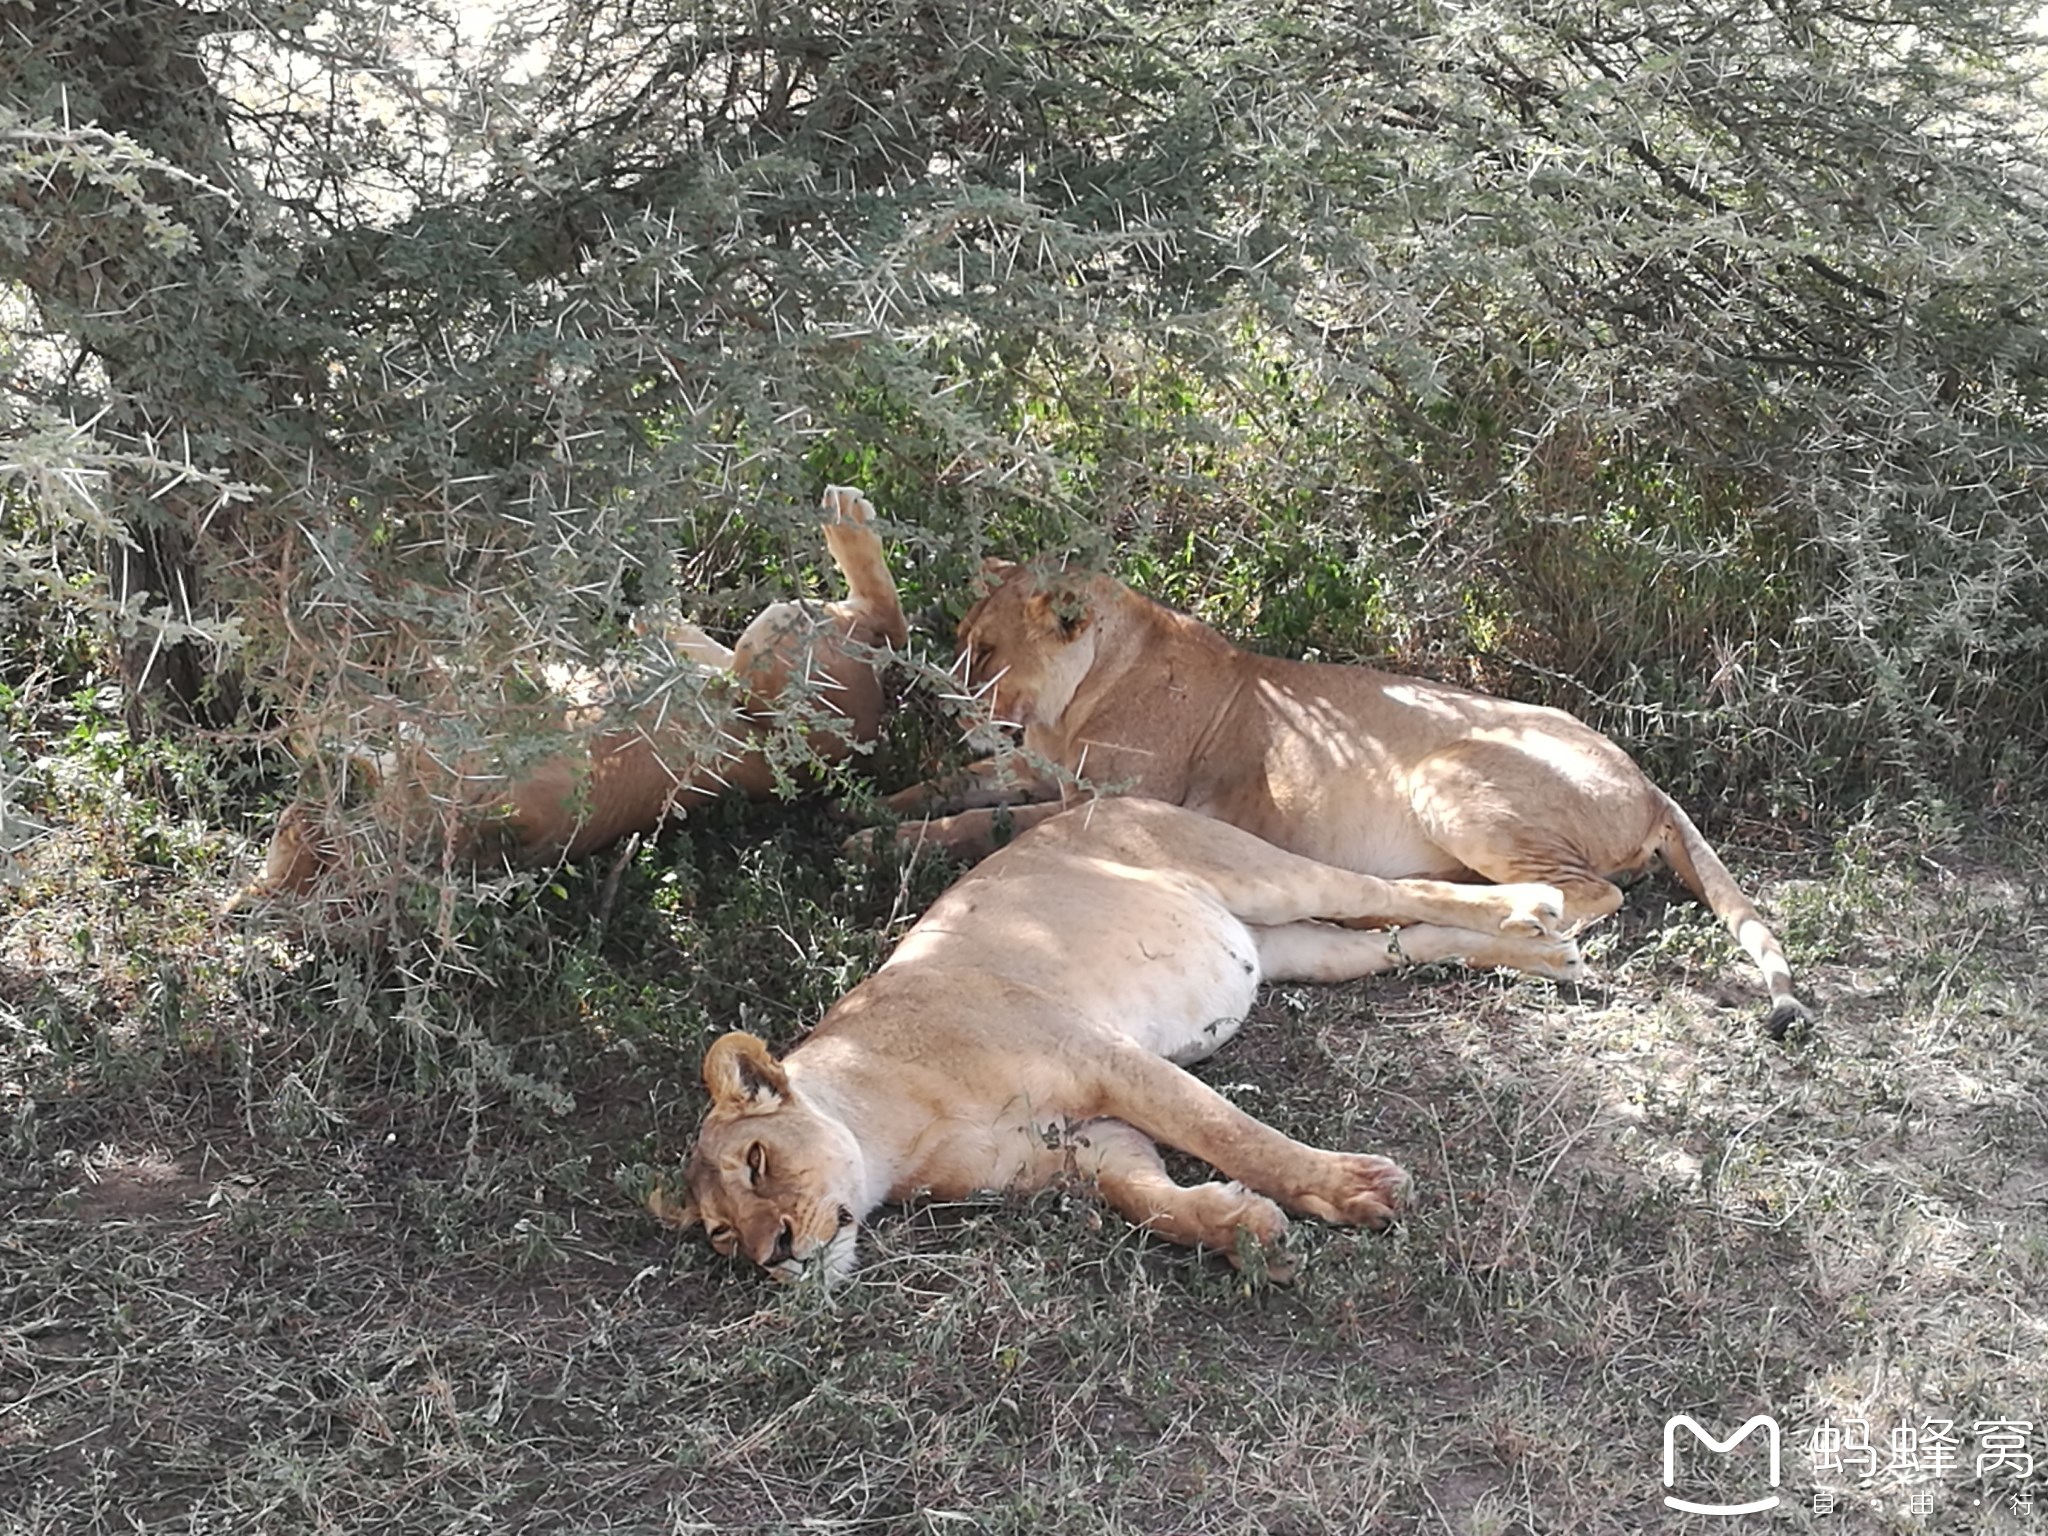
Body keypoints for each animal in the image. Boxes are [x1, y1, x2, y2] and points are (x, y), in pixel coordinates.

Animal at [234, 487, 905, 909]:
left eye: (288, 829)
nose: (322, 777)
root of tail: (879, 725)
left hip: (728, 648)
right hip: (776, 651)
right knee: (883, 619)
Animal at [655, 798, 1581, 1277]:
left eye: (758, 1163)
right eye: (720, 1235)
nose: (772, 1255)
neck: (896, 1138)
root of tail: (1108, 795)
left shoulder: (1106, 1059)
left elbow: (1234, 1134)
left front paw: (1351, 1190)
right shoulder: (1086, 1142)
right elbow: (1150, 1199)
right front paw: (1242, 1230)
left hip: (1264, 875)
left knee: (1391, 889)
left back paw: (1534, 906)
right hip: (1298, 949)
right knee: (1401, 938)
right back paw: (1543, 954)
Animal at [880, 561, 1810, 1036]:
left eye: (985, 652)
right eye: (962, 640)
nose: (935, 699)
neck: (1080, 695)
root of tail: (1650, 783)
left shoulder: (1106, 798)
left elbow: (976, 821)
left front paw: (886, 837)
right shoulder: (1036, 770)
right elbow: (944, 788)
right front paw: (867, 817)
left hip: (1448, 775)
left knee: (1590, 893)